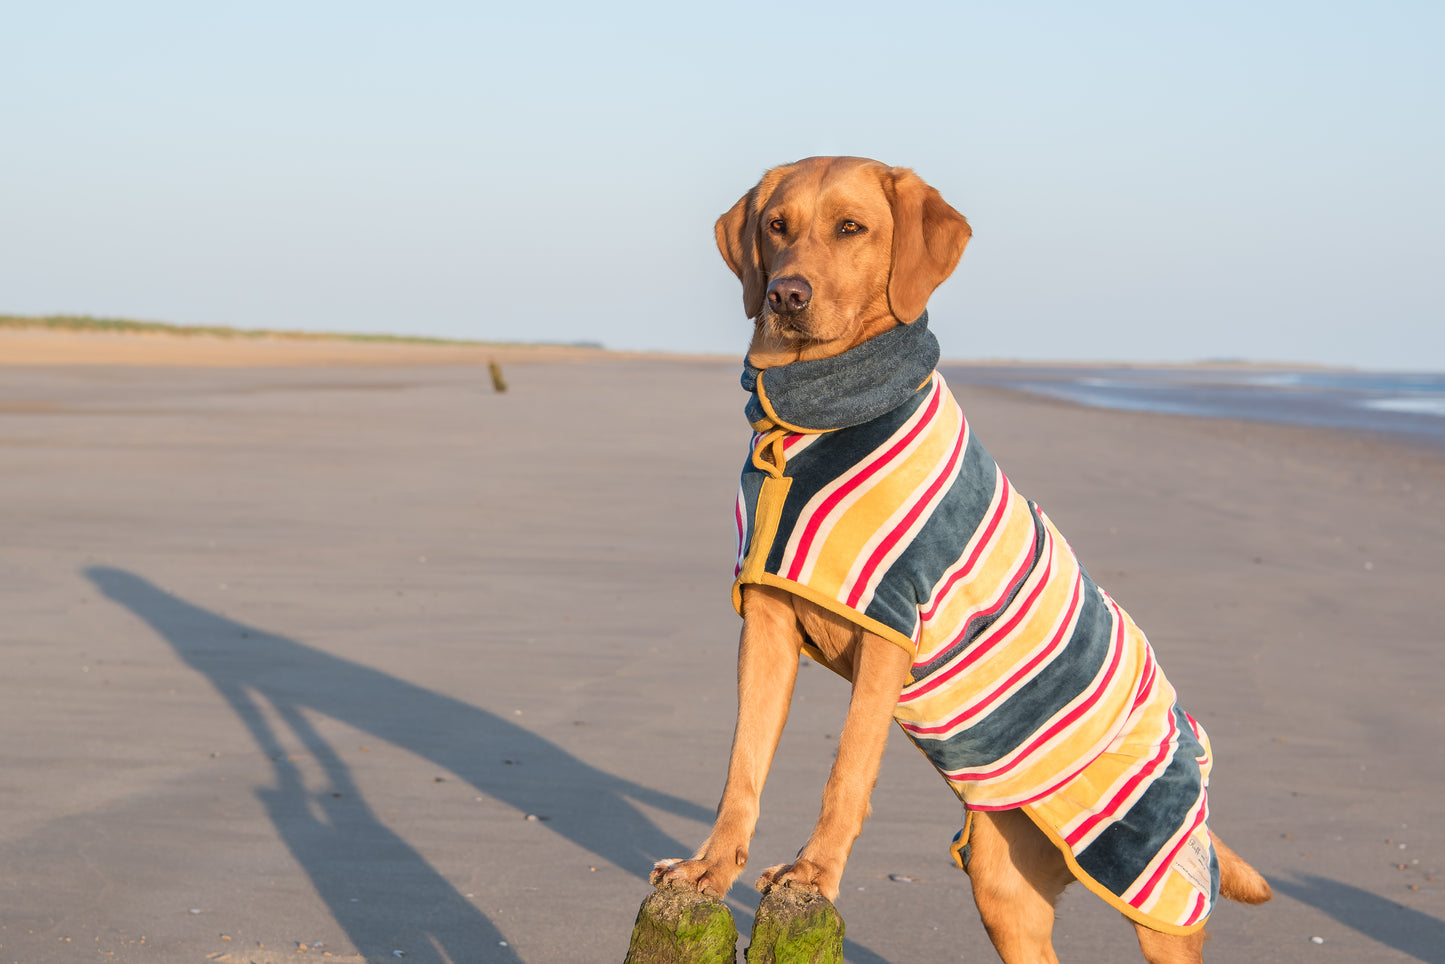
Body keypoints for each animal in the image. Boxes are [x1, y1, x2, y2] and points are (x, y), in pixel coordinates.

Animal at [650, 154, 1271, 959]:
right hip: (1002, 881)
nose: (786, 294)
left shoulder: (889, 625)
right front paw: (711, 867)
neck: (812, 420)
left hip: (1153, 878)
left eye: (851, 227)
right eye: (776, 227)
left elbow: (846, 770)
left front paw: (814, 872)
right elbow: (742, 767)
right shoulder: (764, 622)